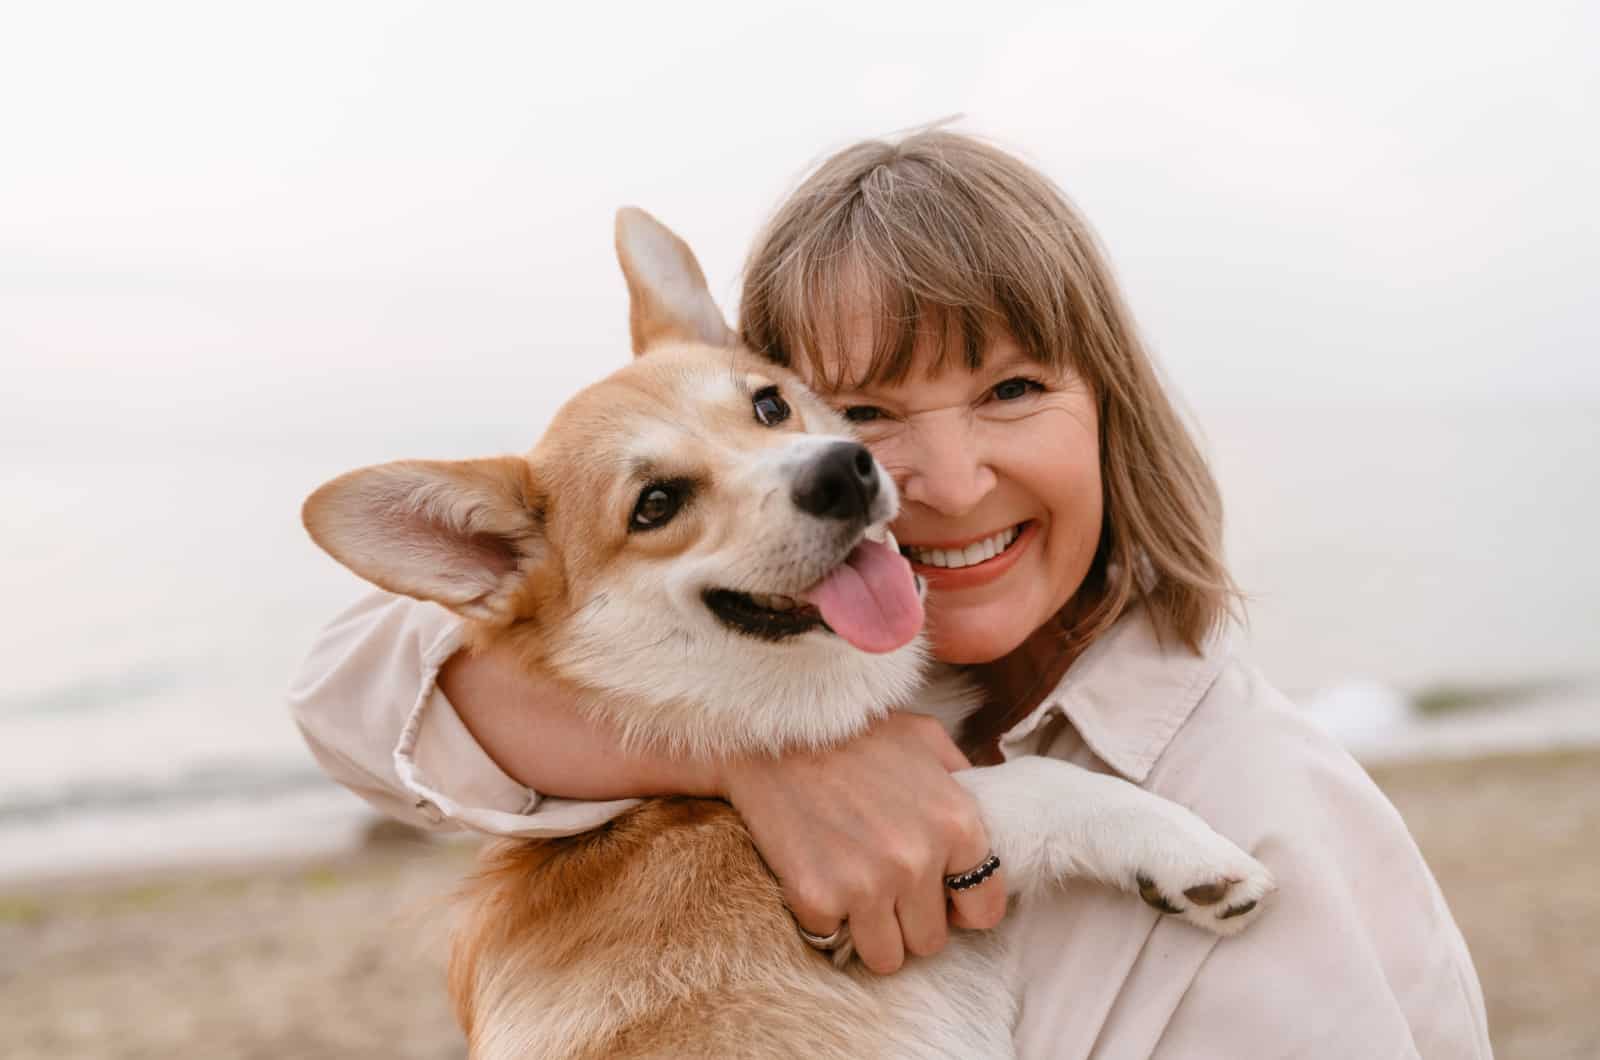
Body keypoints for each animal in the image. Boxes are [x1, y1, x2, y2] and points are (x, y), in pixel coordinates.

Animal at [302, 209, 1273, 1060]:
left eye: (769, 407)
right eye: (655, 504)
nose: (845, 471)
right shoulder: (918, 819)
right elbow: (1035, 782)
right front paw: (1192, 851)